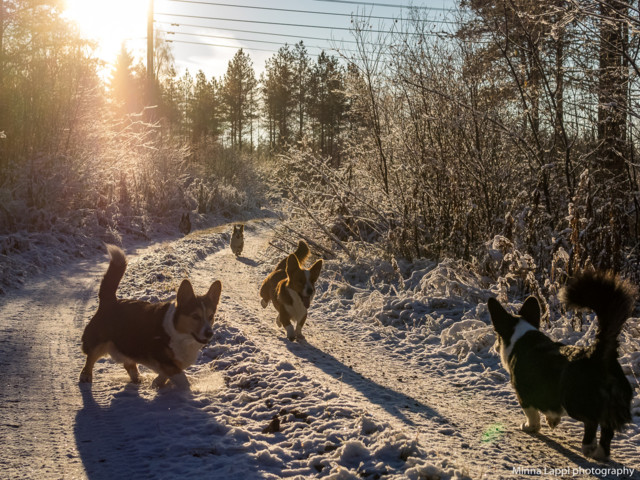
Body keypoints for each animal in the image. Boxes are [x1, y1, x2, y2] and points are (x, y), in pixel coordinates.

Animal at [80, 246, 222, 388]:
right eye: (195, 316)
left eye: (211, 316)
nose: (209, 333)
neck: (178, 333)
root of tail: (110, 300)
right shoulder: (167, 362)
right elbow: (183, 380)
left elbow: (164, 375)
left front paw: (156, 383)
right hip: (99, 342)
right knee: (91, 357)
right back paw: (86, 376)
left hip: (127, 343)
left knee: (128, 363)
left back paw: (137, 378)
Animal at [490, 270, 636, 462]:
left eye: (498, 337)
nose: (495, 347)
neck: (522, 336)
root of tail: (597, 354)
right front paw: (552, 421)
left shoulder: (523, 395)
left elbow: (532, 415)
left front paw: (529, 427)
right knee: (606, 430)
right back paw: (599, 454)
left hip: (574, 402)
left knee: (592, 422)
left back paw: (588, 447)